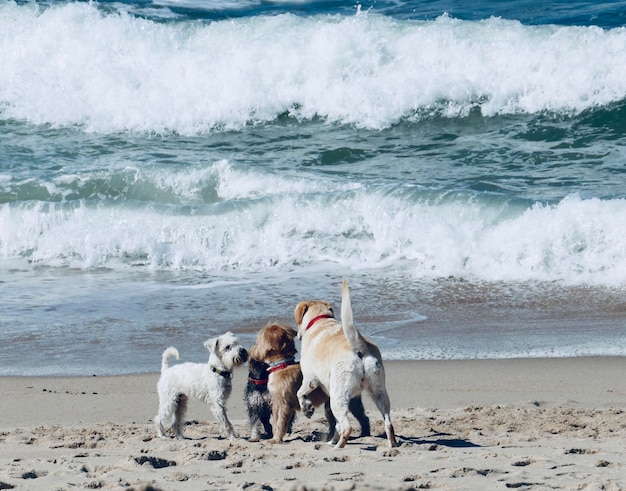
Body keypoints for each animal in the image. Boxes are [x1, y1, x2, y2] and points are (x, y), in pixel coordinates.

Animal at [292, 280, 394, 450]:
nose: (297, 335)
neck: (321, 320)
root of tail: (359, 346)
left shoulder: (310, 379)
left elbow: (300, 393)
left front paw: (307, 408)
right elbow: (336, 425)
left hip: (338, 396)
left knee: (347, 427)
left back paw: (337, 447)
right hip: (379, 392)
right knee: (388, 423)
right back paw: (393, 444)